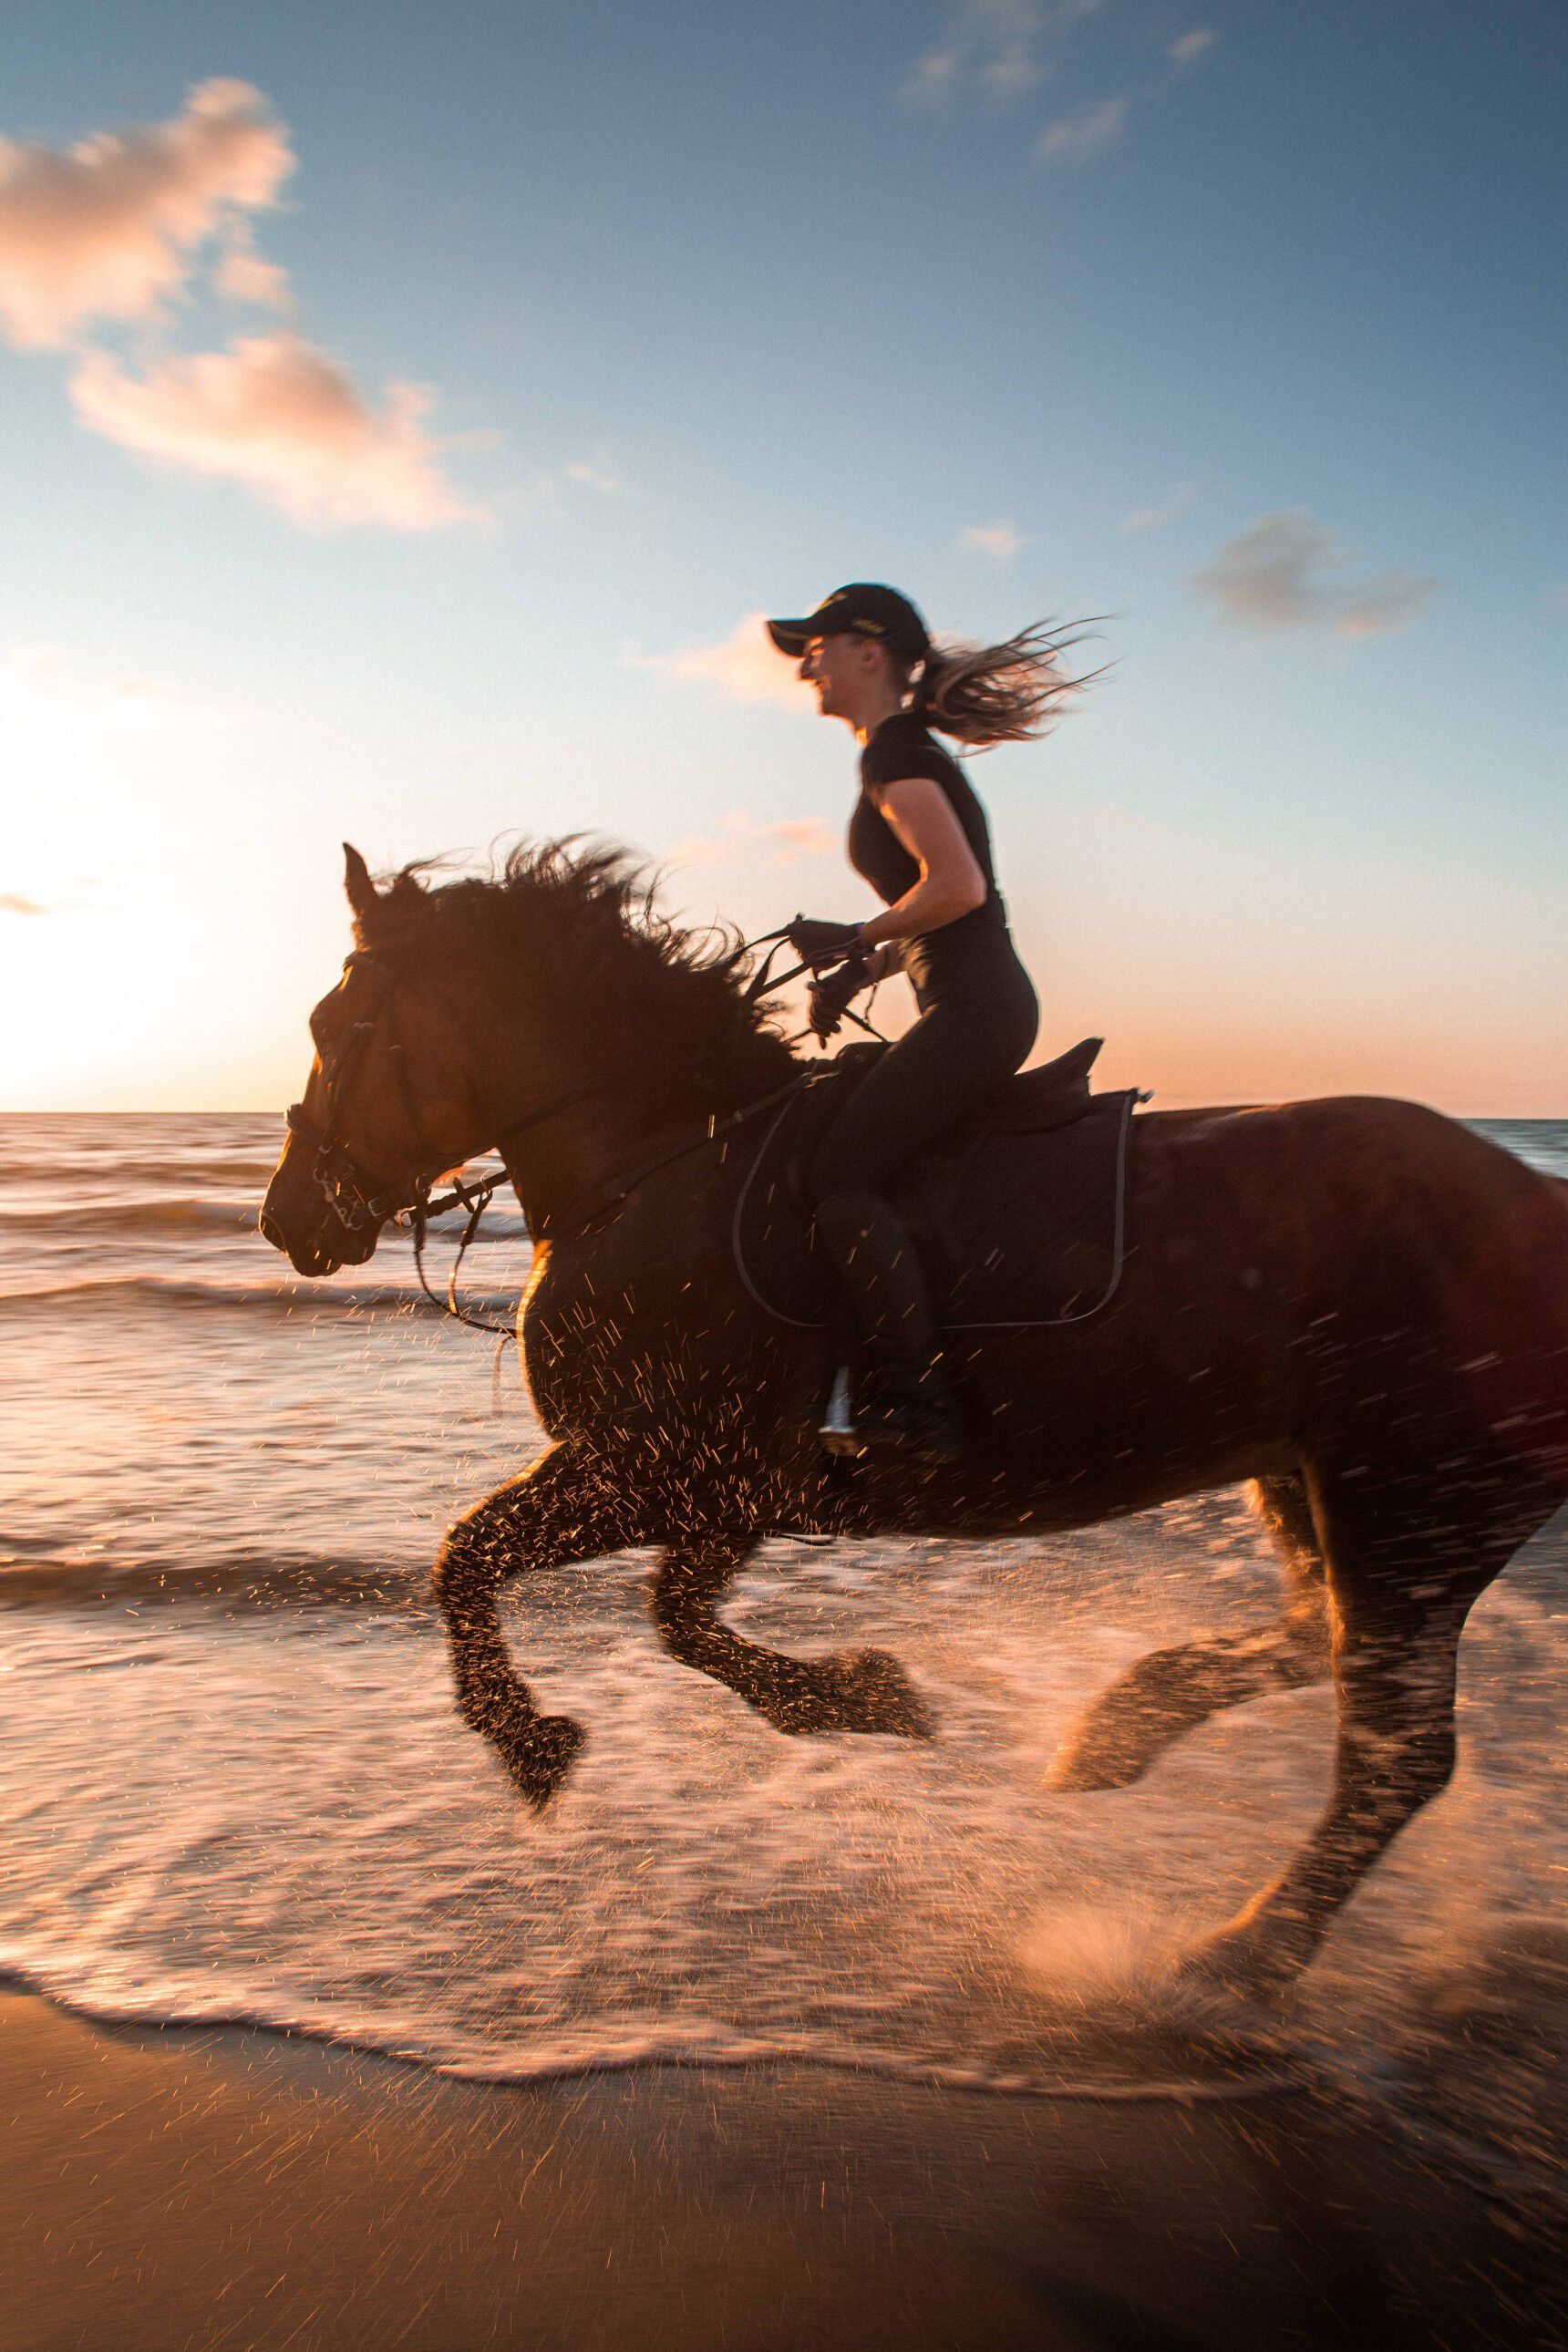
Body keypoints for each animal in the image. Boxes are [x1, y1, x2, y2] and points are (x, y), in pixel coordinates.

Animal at [261, 846, 1568, 1985]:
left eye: (330, 1030)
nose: (287, 1220)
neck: (657, 1163)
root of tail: (1536, 1204)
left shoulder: (666, 1473)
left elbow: (496, 1571)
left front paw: (551, 1744)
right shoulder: (704, 1492)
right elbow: (635, 1606)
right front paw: (857, 1694)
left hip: (1408, 1506)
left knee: (1395, 1758)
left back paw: (1234, 1960)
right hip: (1305, 1478)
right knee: (1312, 1642)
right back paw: (1114, 1735)